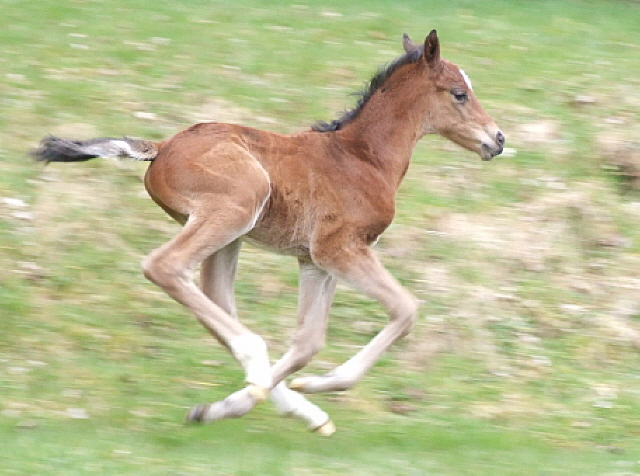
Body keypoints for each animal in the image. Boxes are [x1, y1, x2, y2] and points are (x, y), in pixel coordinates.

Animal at [35, 30, 504, 436]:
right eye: (459, 93)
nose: (497, 139)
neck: (363, 157)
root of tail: (162, 148)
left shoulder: (314, 261)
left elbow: (309, 340)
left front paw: (252, 403)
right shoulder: (339, 249)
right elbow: (405, 309)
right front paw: (307, 387)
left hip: (229, 235)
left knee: (215, 302)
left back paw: (277, 402)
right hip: (236, 206)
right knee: (165, 267)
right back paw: (256, 363)